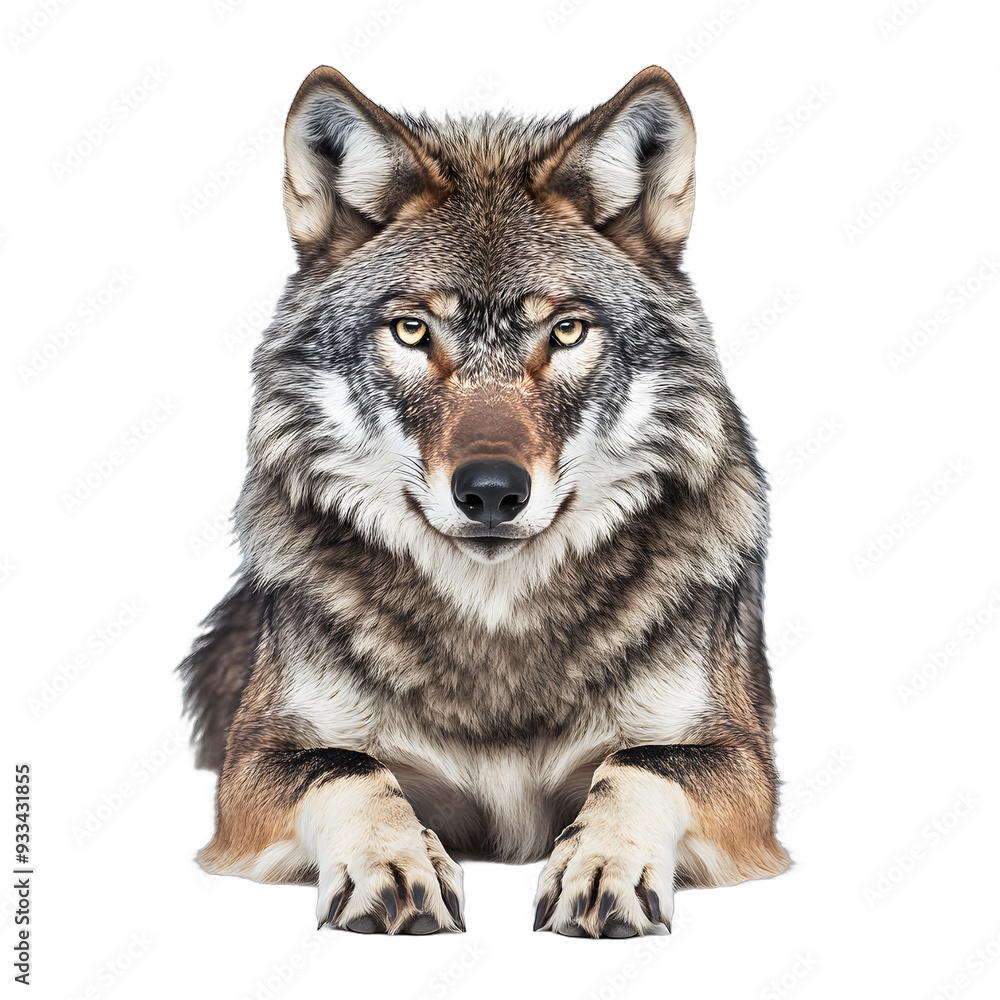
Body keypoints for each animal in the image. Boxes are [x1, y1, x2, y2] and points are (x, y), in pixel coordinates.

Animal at [180, 64, 790, 938]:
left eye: (566, 333)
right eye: (411, 331)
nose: (493, 493)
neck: (494, 630)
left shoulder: (742, 762)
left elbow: (637, 764)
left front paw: (602, 866)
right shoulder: (254, 762)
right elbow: (351, 769)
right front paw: (391, 864)